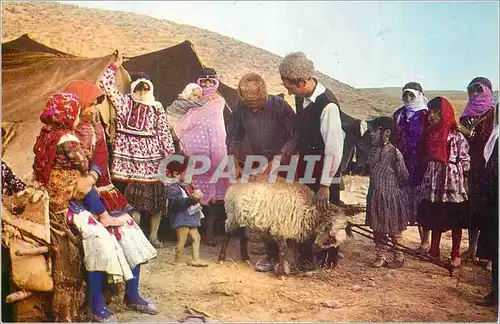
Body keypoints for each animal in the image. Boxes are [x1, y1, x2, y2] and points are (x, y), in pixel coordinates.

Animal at [219, 178, 348, 278]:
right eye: (332, 231)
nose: (316, 248)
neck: (307, 210)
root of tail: (234, 185)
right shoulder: (280, 229)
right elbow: (283, 250)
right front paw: (281, 273)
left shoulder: (296, 230)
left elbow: (296, 250)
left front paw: (298, 268)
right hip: (232, 216)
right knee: (227, 234)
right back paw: (221, 257)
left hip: (242, 218)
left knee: (242, 235)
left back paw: (245, 256)